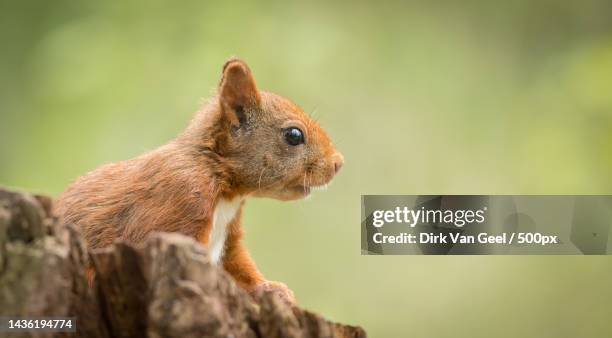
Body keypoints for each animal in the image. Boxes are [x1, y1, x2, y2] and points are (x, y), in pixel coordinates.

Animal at [53, 58, 344, 304]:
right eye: (294, 135)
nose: (338, 163)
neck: (220, 183)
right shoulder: (177, 205)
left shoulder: (229, 237)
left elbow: (238, 266)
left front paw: (274, 289)